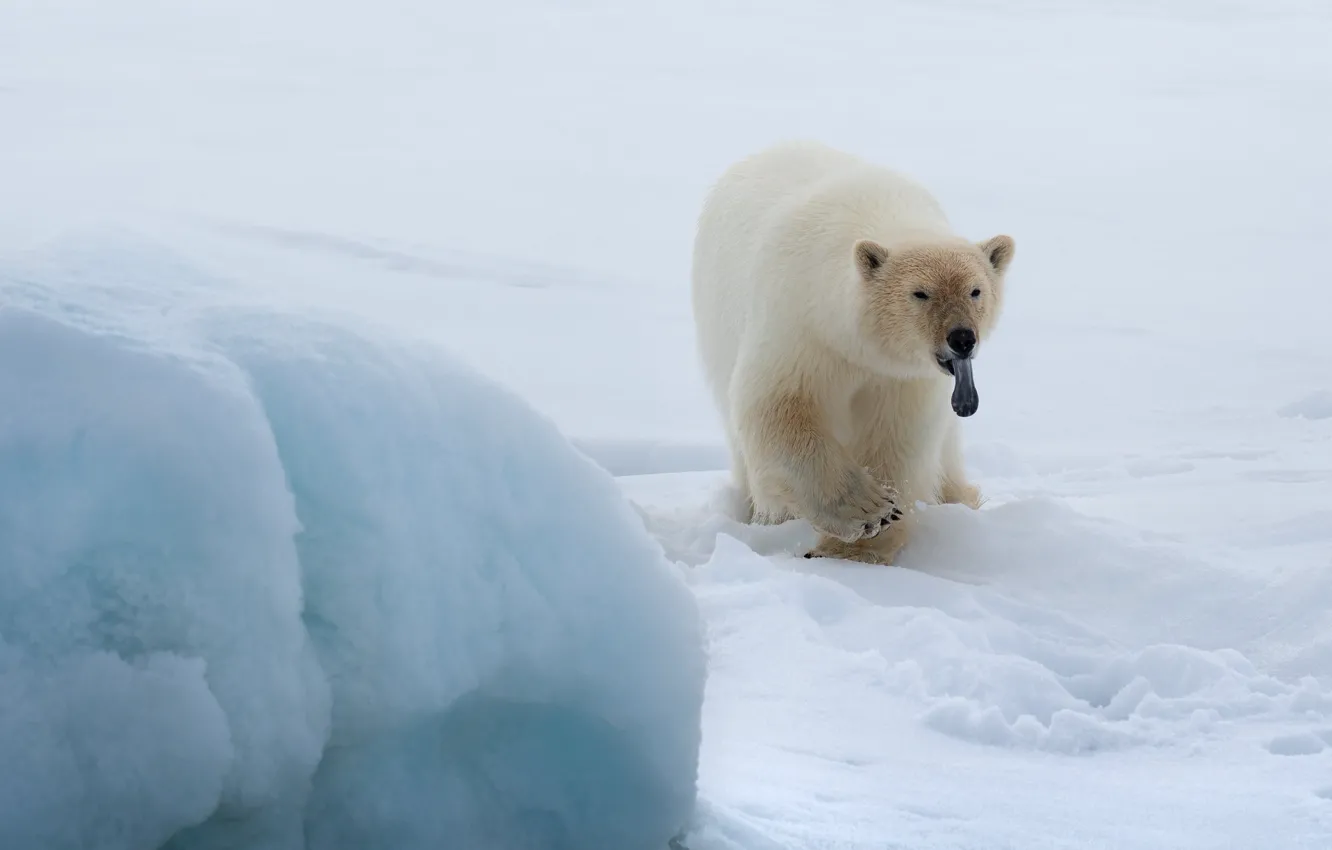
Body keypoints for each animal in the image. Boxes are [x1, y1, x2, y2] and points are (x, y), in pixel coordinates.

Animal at [689, 140, 1015, 565]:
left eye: (975, 290)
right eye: (920, 293)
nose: (962, 338)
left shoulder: (902, 376)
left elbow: (898, 439)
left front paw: (860, 548)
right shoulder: (798, 326)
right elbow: (777, 407)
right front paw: (867, 511)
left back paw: (958, 496)